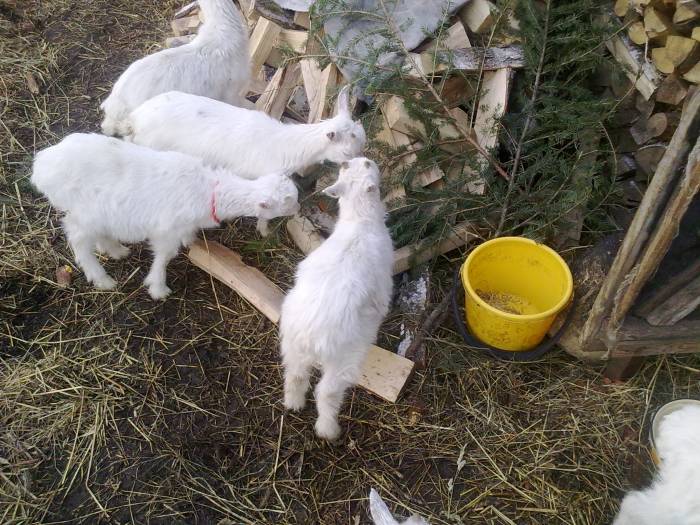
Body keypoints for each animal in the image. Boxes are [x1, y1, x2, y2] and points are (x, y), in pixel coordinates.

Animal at [31, 133, 299, 299]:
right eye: (288, 202)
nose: (298, 210)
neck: (210, 191)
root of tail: (41, 168)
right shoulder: (167, 229)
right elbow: (164, 256)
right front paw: (158, 288)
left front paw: (190, 242)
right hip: (84, 212)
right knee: (78, 241)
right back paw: (102, 279)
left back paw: (116, 250)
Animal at [278, 157, 393, 440]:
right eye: (367, 165)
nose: (365, 159)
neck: (360, 220)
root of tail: (310, 337)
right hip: (343, 358)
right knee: (327, 392)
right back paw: (328, 430)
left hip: (291, 346)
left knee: (295, 376)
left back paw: (293, 404)